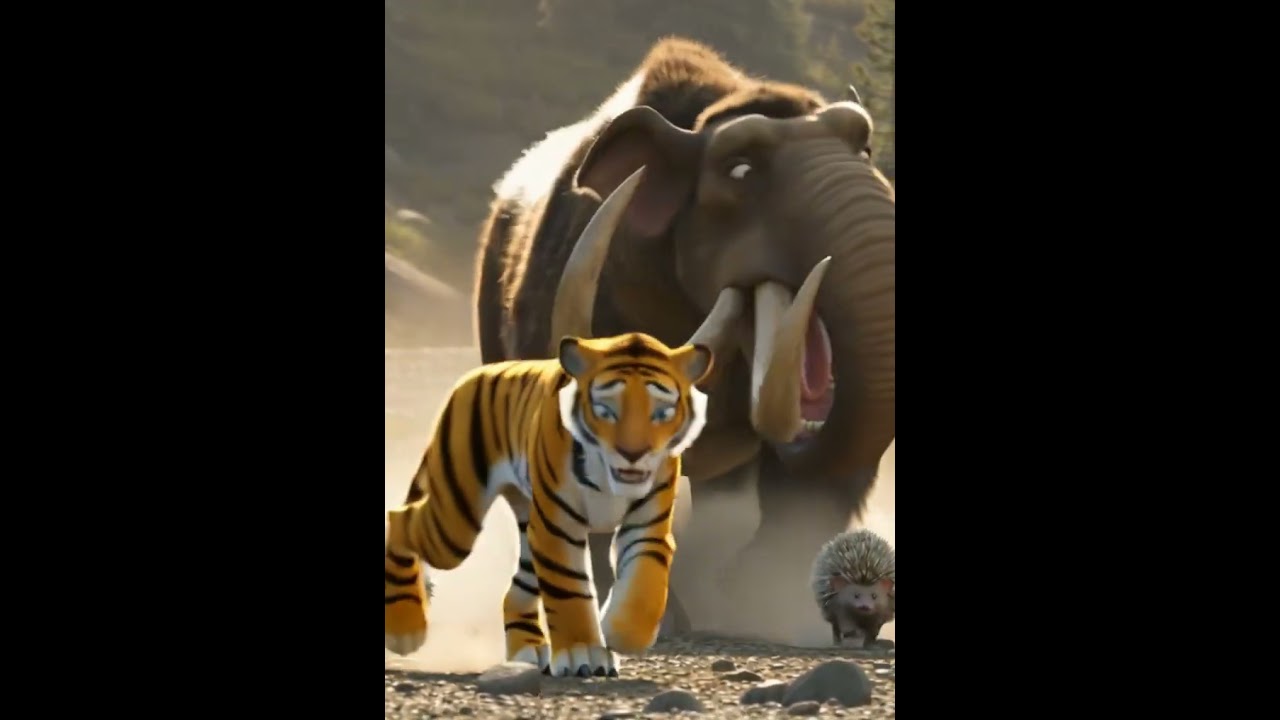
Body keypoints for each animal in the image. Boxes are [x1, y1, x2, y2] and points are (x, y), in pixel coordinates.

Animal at [384, 331, 714, 678]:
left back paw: (527, 651)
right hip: (457, 520)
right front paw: (584, 654)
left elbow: (646, 582)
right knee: (398, 519)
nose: (632, 454)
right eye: (604, 411)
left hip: (527, 528)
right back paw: (404, 629)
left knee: (512, 594)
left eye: (662, 413)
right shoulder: (558, 528)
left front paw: (620, 632)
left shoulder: (646, 526)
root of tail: (473, 376)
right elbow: (568, 589)